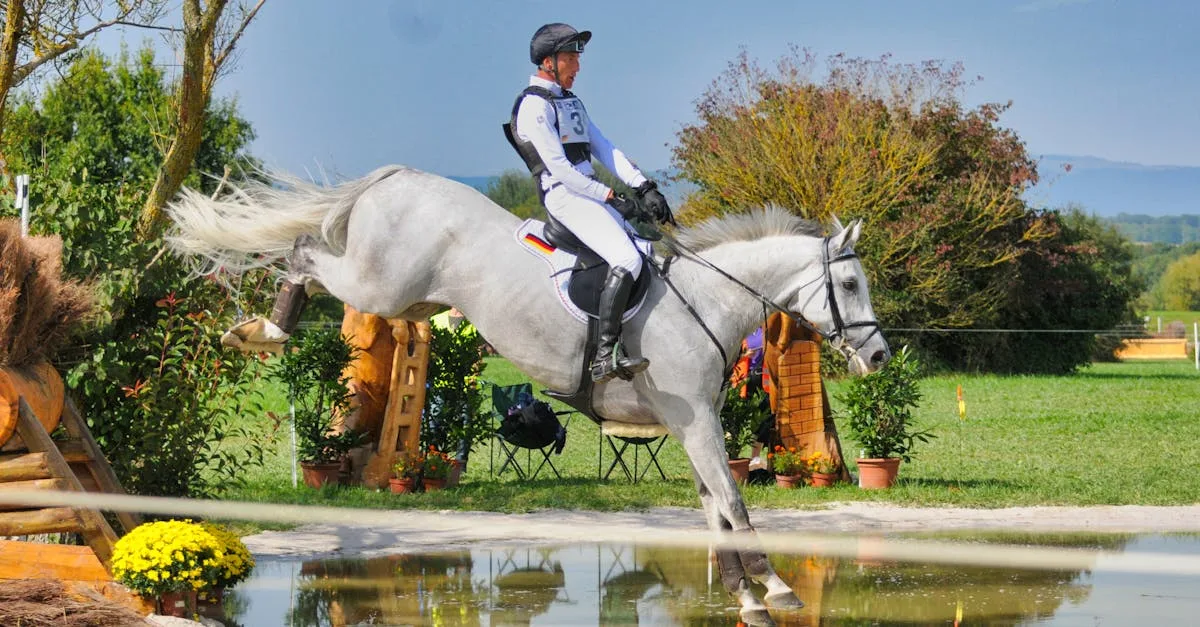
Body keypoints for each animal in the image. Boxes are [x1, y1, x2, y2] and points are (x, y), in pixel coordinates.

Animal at [166, 165, 890, 625]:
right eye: (852, 284)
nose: (880, 355)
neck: (707, 298)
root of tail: (395, 176)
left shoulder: (692, 426)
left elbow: (716, 507)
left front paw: (746, 596)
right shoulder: (697, 423)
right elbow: (735, 503)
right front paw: (777, 586)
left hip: (411, 298)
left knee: (312, 255)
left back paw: (258, 328)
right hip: (380, 284)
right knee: (303, 252)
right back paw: (261, 329)